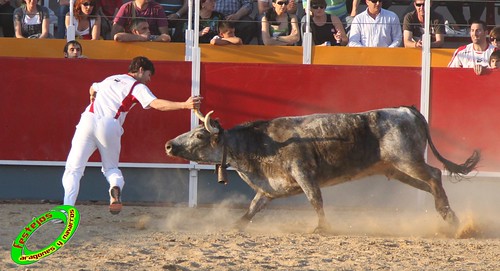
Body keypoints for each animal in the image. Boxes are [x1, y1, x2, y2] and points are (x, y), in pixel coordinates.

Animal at [167, 107, 480, 233]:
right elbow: (251, 209)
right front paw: (234, 226)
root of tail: (408, 110)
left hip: (408, 161)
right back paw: (447, 216)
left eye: (199, 135)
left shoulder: (304, 173)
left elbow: (315, 200)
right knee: (429, 184)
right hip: (399, 169)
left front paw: (321, 227)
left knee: (435, 175)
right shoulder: (269, 190)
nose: (169, 145)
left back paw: (449, 216)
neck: (262, 144)